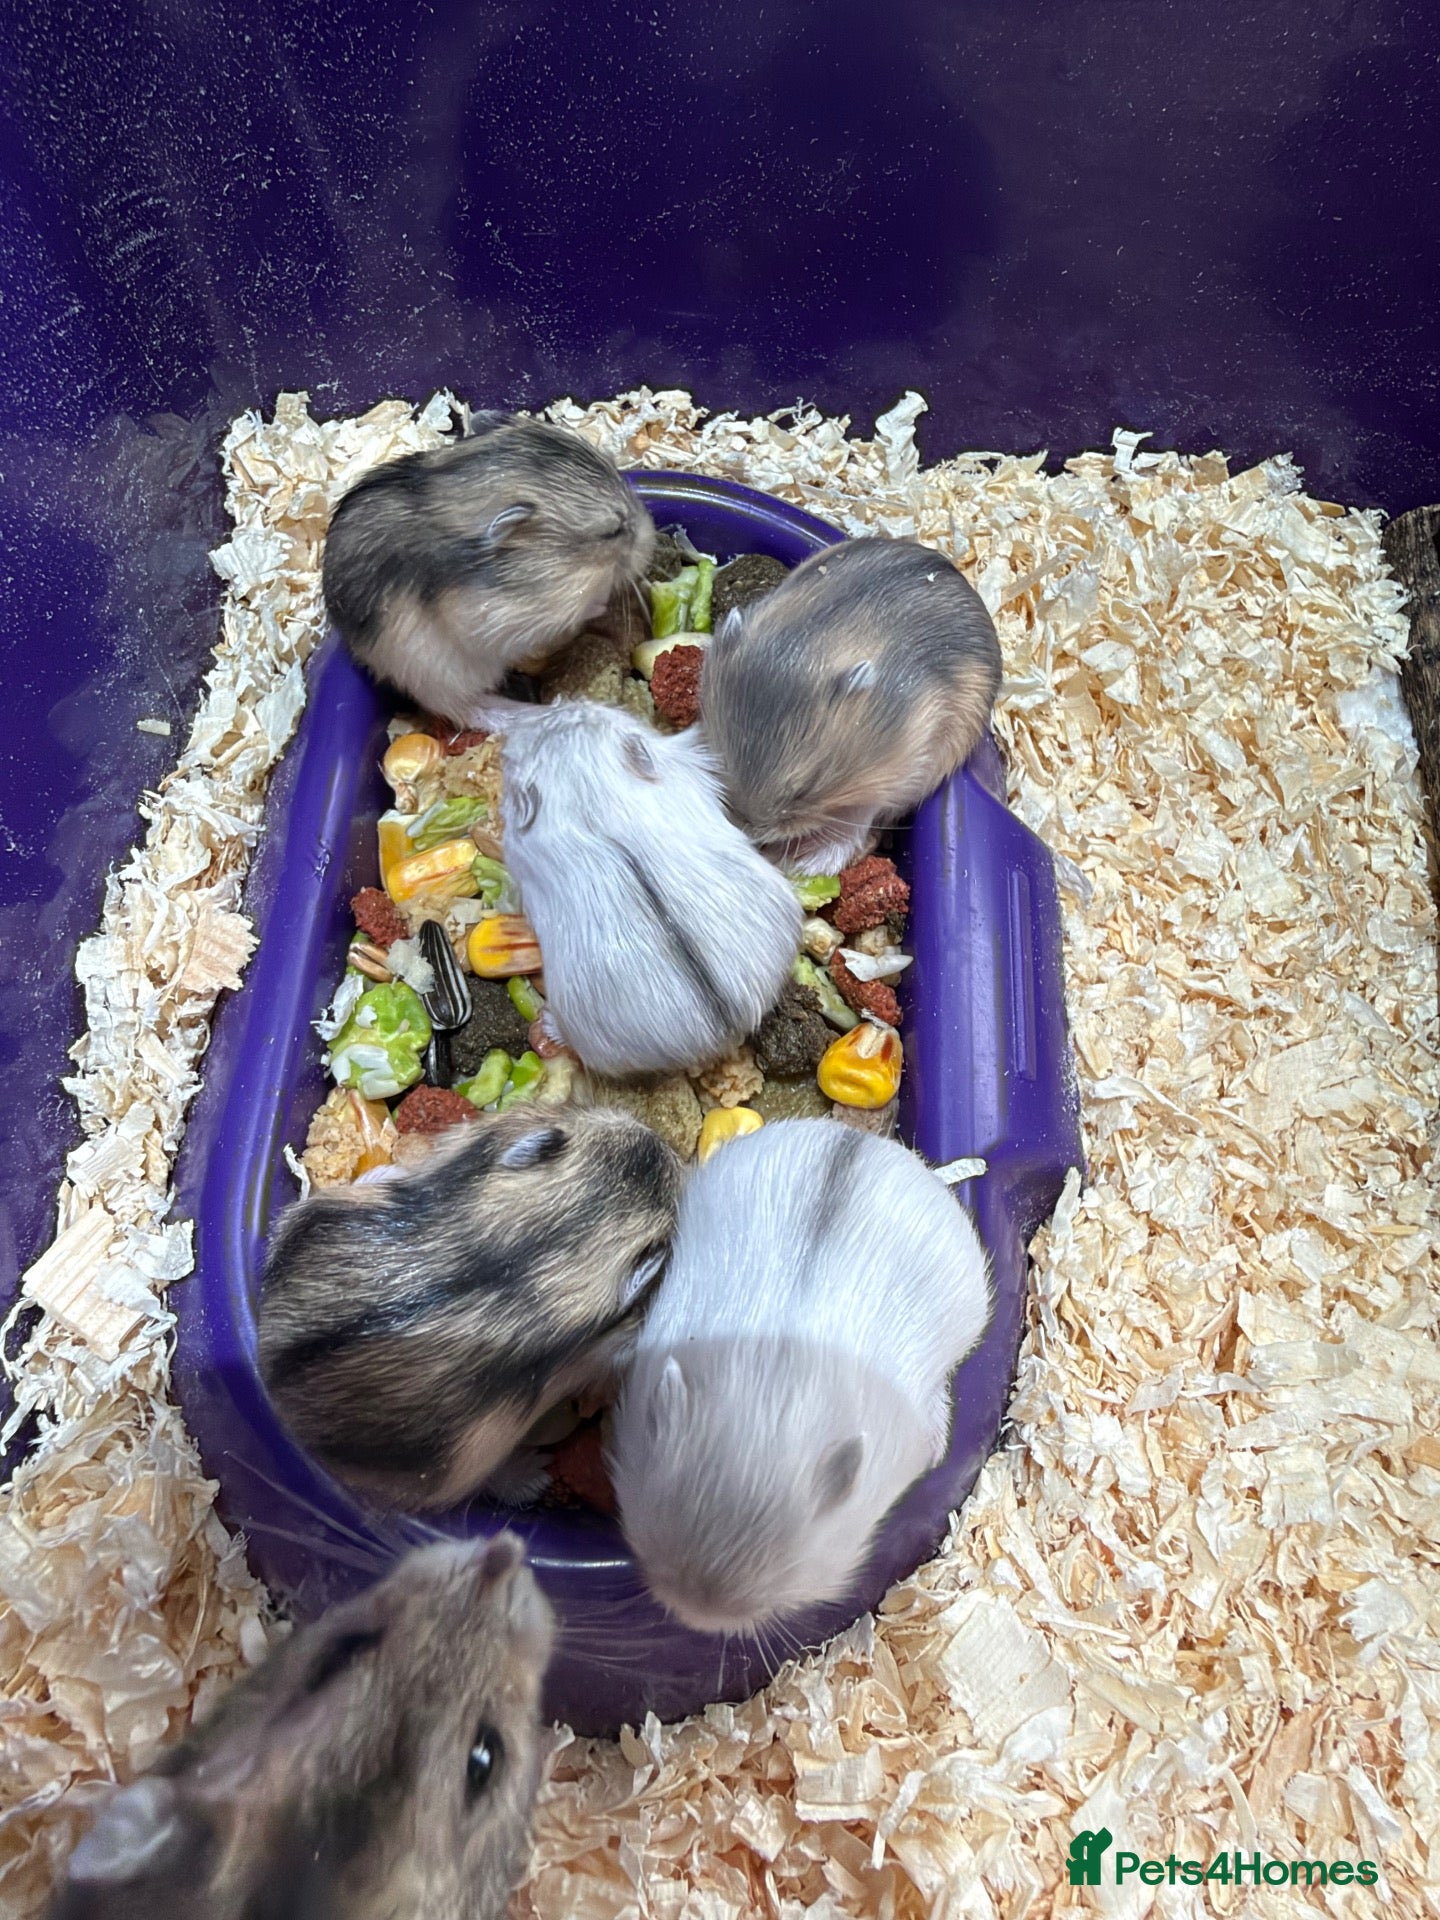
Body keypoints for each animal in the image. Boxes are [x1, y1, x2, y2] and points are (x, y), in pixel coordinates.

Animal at [699, 536, 1004, 874]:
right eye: (721, 760)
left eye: (806, 790)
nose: (749, 833)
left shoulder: (902, 767)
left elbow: (858, 814)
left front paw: (797, 861)